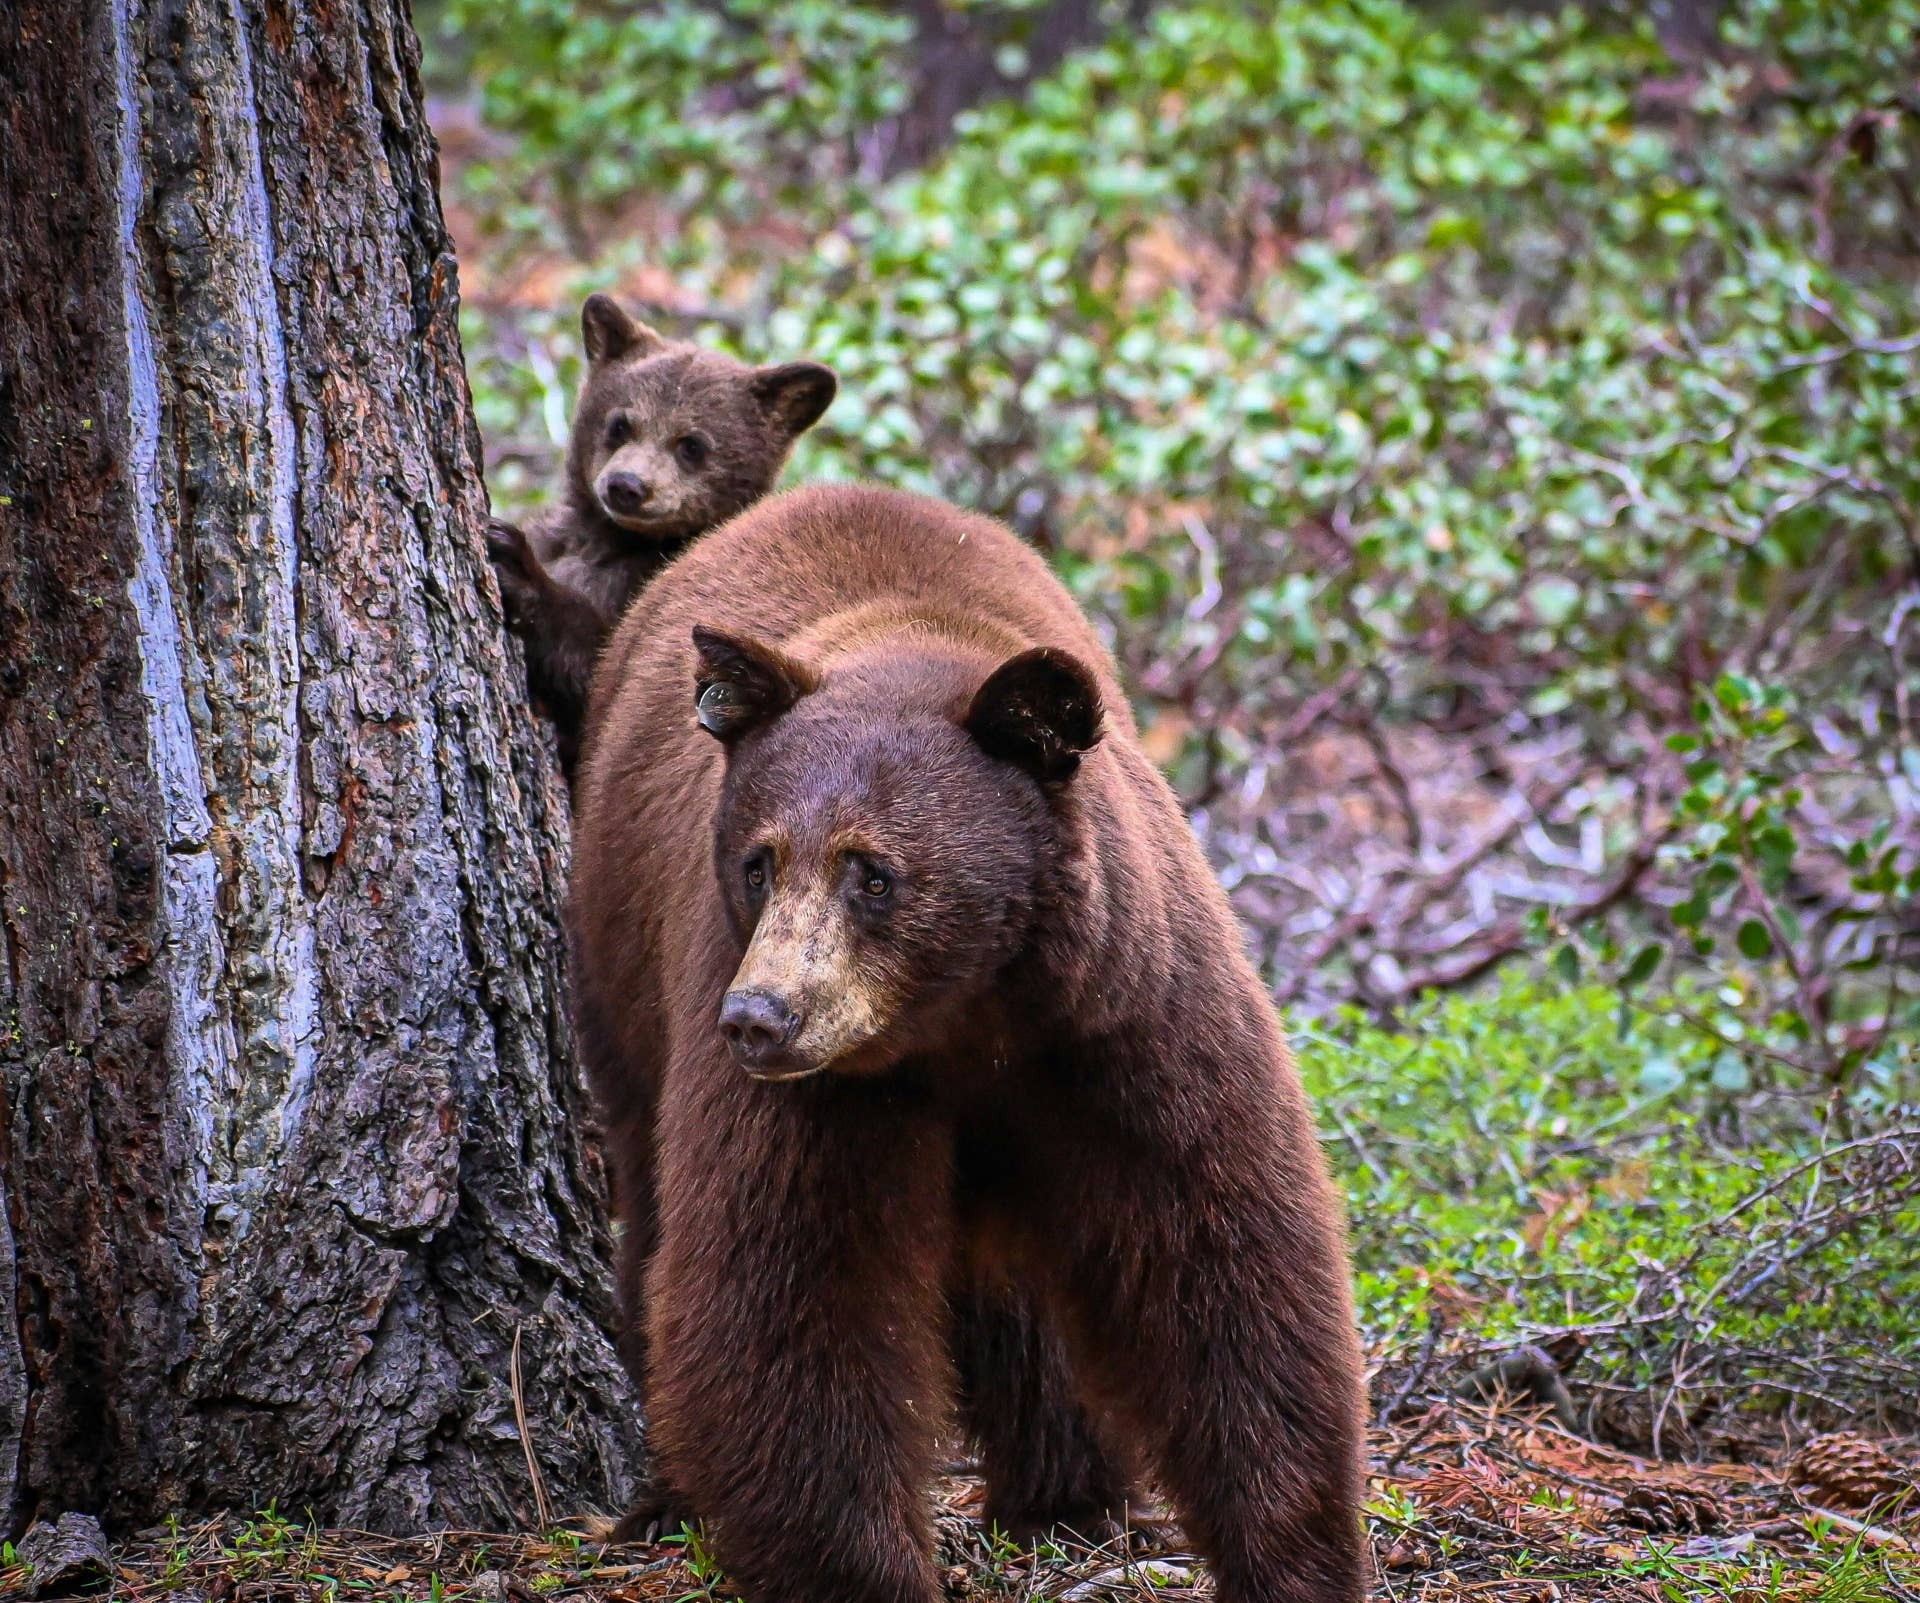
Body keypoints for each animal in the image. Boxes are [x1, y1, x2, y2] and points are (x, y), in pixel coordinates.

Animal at [486, 293, 835, 774]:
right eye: (620, 423)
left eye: (692, 444)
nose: (627, 486)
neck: (616, 541)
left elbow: (597, 674)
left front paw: (516, 562)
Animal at [568, 483, 1366, 1603]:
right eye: (760, 861)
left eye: (873, 871)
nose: (759, 1017)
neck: (967, 1015)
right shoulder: (815, 1082)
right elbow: (791, 1294)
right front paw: (865, 1570)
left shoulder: (1127, 1018)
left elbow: (1222, 1255)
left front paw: (1294, 1555)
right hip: (621, 970)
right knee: (653, 1208)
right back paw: (666, 1495)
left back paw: (1065, 1494)